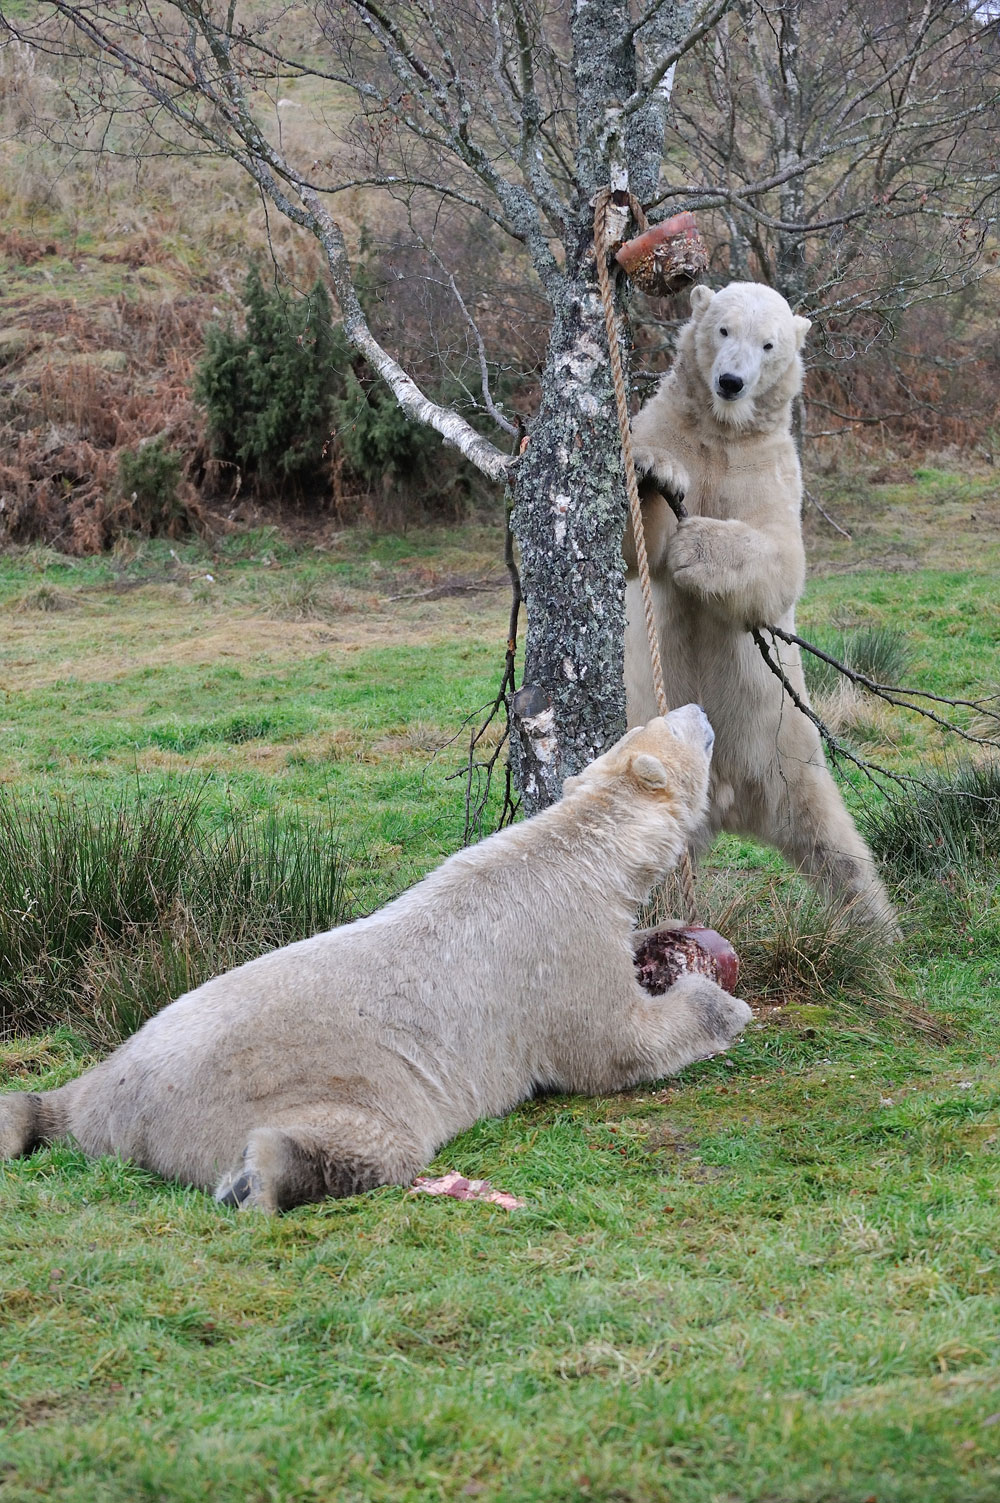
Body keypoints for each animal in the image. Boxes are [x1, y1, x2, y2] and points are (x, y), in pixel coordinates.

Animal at [0, 706, 752, 1213]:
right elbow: (612, 1044)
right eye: (672, 726)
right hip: (319, 1088)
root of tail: (122, 1116)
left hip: (108, 1070)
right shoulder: (557, 949)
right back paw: (257, 1178)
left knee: (49, 1101)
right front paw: (722, 1005)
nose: (699, 709)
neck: (579, 854)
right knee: (368, 1144)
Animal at [624, 281, 898, 932]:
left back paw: (878, 929)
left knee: (833, 840)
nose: (730, 382)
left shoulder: (771, 466)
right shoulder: (664, 424)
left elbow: (783, 560)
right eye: (724, 329)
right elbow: (634, 544)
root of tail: (726, 797)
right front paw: (656, 472)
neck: (723, 431)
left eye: (768, 343)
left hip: (788, 744)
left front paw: (697, 545)